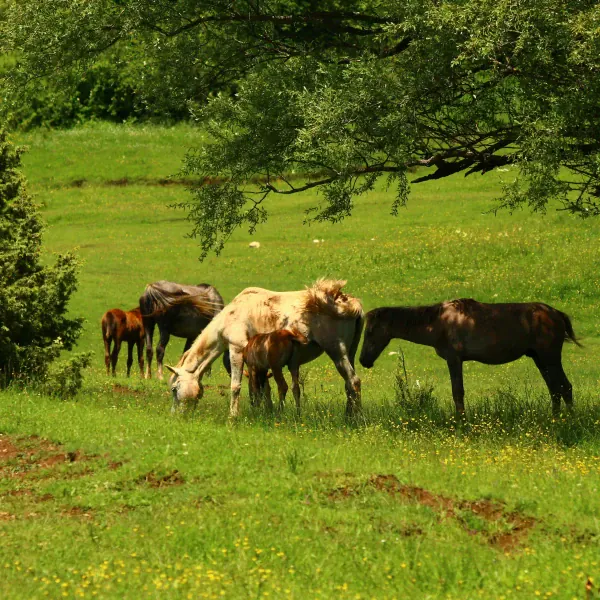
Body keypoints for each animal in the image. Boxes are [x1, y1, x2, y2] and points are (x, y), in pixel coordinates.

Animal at [164, 280, 364, 418]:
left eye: (174, 389)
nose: (174, 415)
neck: (230, 316)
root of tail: (348, 303)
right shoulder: (260, 363)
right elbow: (263, 388)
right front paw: (266, 412)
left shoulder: (236, 350)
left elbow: (236, 386)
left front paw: (233, 417)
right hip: (349, 353)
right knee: (349, 385)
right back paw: (348, 415)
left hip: (337, 351)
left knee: (353, 381)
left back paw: (356, 419)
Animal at [358, 298, 580, 414]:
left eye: (370, 331)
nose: (363, 360)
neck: (438, 323)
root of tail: (556, 314)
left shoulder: (454, 359)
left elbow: (458, 392)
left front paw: (461, 422)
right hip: (539, 359)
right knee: (555, 390)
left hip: (550, 357)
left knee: (565, 387)